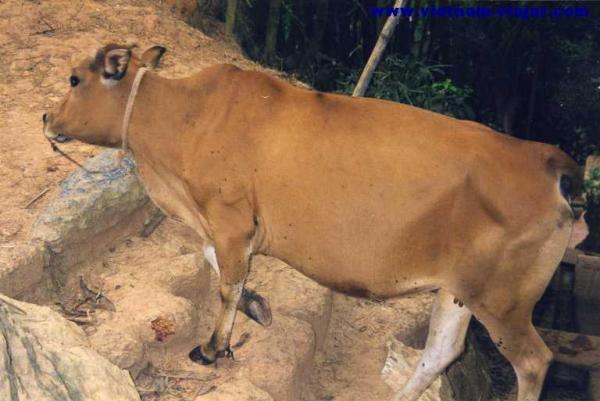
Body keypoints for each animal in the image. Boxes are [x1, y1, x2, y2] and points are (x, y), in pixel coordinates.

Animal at [43, 44, 584, 401]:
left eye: (74, 79)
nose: (47, 118)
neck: (185, 119)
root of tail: (546, 159)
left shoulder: (230, 218)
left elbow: (226, 281)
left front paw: (215, 348)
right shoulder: (234, 228)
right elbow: (216, 262)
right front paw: (258, 306)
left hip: (504, 303)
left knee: (533, 362)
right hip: (460, 290)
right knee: (442, 350)